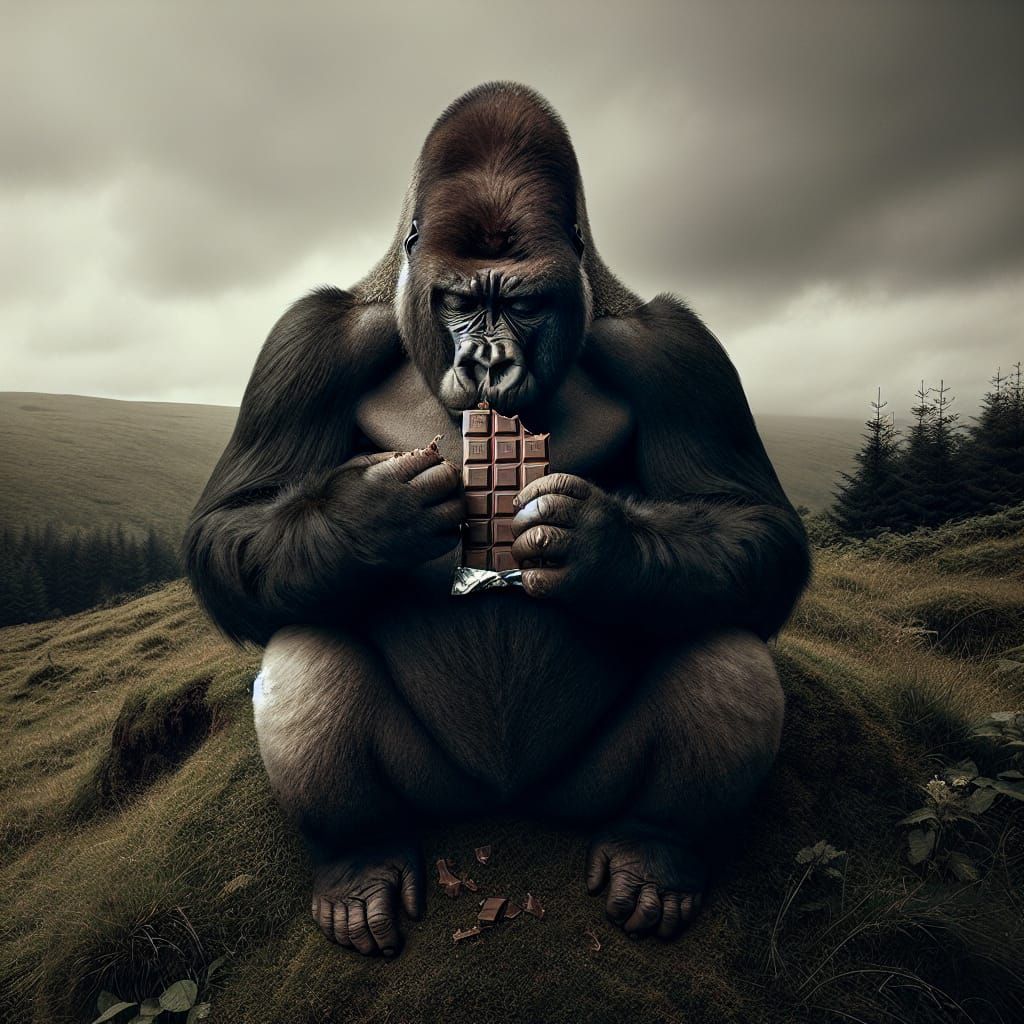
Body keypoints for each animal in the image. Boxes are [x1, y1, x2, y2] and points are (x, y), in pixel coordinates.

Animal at [183, 81, 811, 958]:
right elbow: (232, 518)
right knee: (307, 651)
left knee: (725, 649)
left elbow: (753, 522)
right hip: (438, 791)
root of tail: (503, 804)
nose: (488, 361)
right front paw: (366, 520)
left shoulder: (676, 351)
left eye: (522, 303)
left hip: (578, 793)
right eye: (457, 301)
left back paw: (655, 851)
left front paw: (606, 549)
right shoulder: (309, 339)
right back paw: (360, 862)